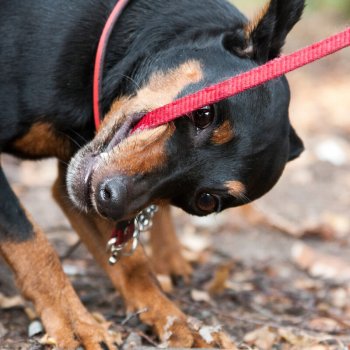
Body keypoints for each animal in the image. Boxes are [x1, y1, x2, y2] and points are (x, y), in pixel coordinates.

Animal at [0, 0, 304, 348]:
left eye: (206, 201)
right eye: (204, 113)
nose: (110, 200)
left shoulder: (74, 185)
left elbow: (133, 262)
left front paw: (173, 319)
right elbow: (32, 244)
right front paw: (75, 323)